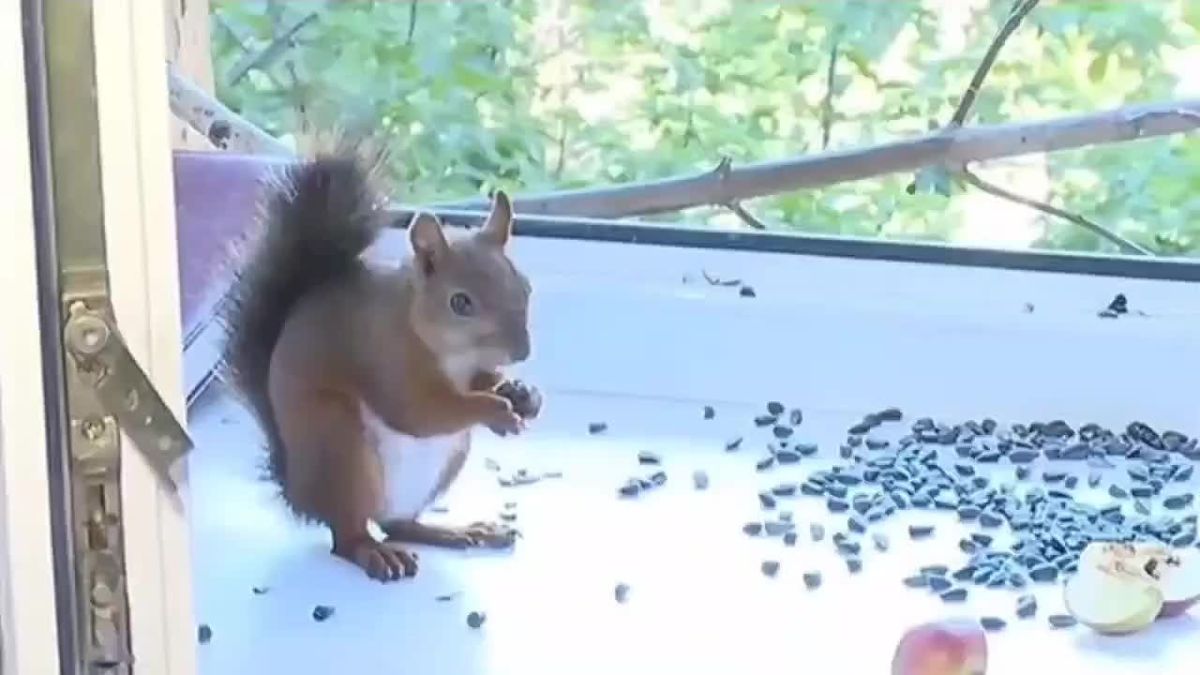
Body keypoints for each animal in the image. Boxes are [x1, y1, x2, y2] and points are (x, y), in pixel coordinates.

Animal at [217, 136, 541, 582]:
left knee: (398, 523)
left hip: (444, 463)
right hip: (342, 447)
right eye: (460, 302)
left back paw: (457, 531)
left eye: (524, 285)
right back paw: (374, 553)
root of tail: (298, 491)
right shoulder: (384, 356)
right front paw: (495, 410)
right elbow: (420, 411)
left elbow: (480, 382)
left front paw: (522, 394)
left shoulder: (469, 370)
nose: (521, 352)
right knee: (348, 534)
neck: (449, 352)